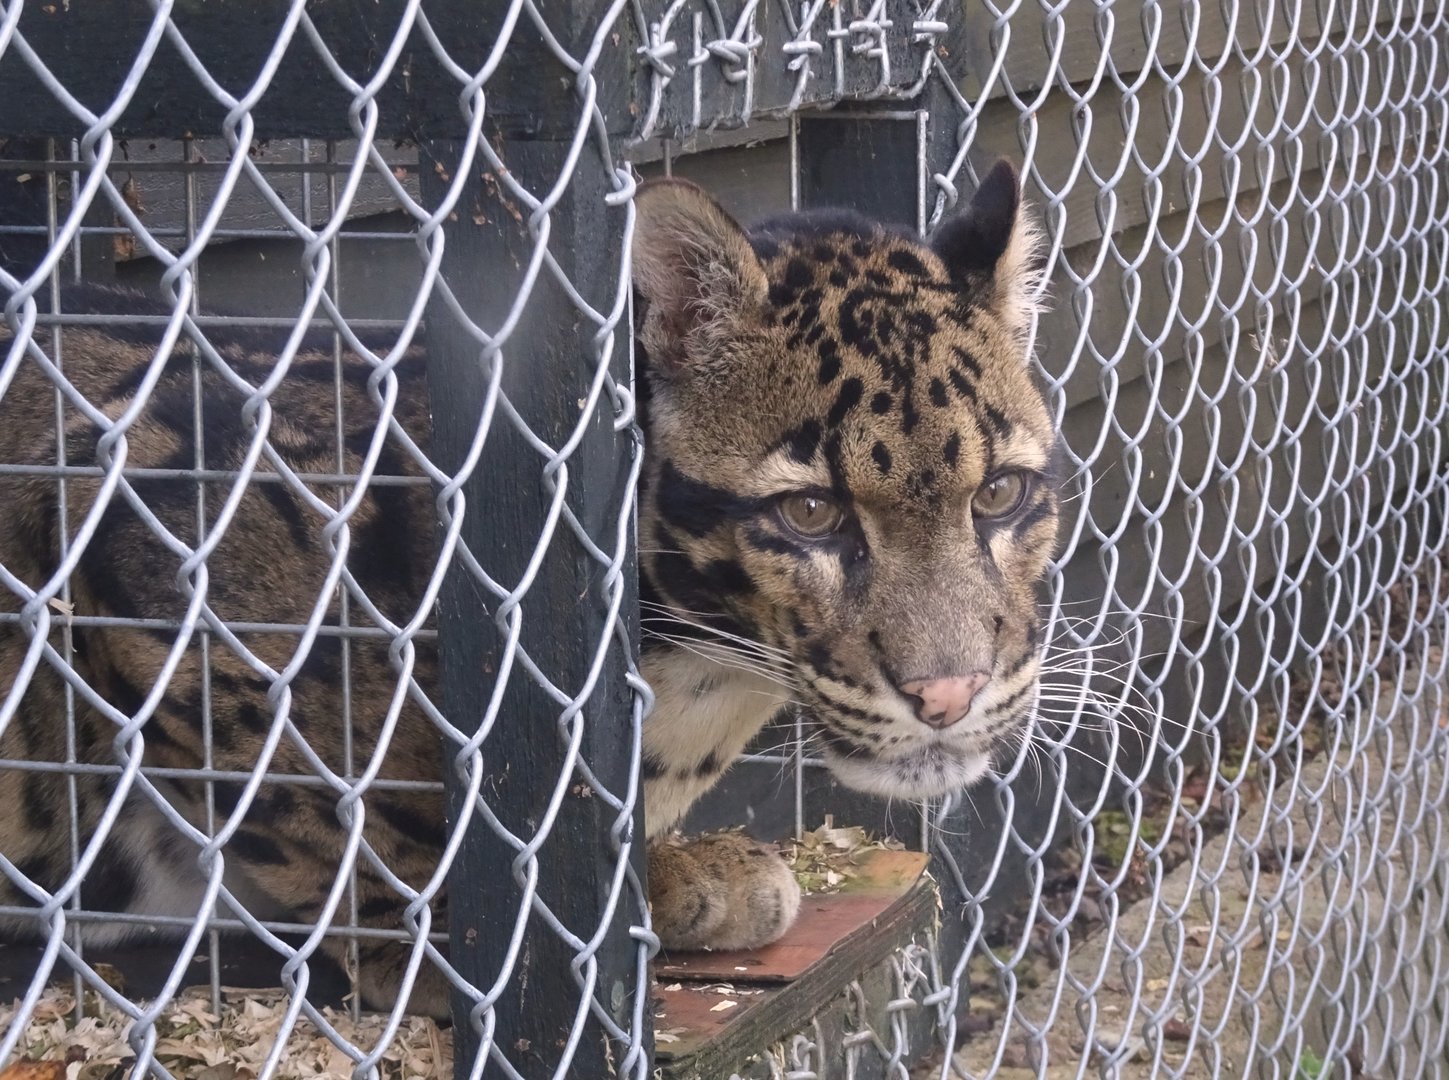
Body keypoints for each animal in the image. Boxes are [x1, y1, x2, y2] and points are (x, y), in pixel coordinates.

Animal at [0, 159, 1057, 1018]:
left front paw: (664, 876)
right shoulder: (141, 558)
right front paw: (458, 946)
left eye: (999, 496)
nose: (949, 694)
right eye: (809, 513)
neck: (698, 679)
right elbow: (324, 815)